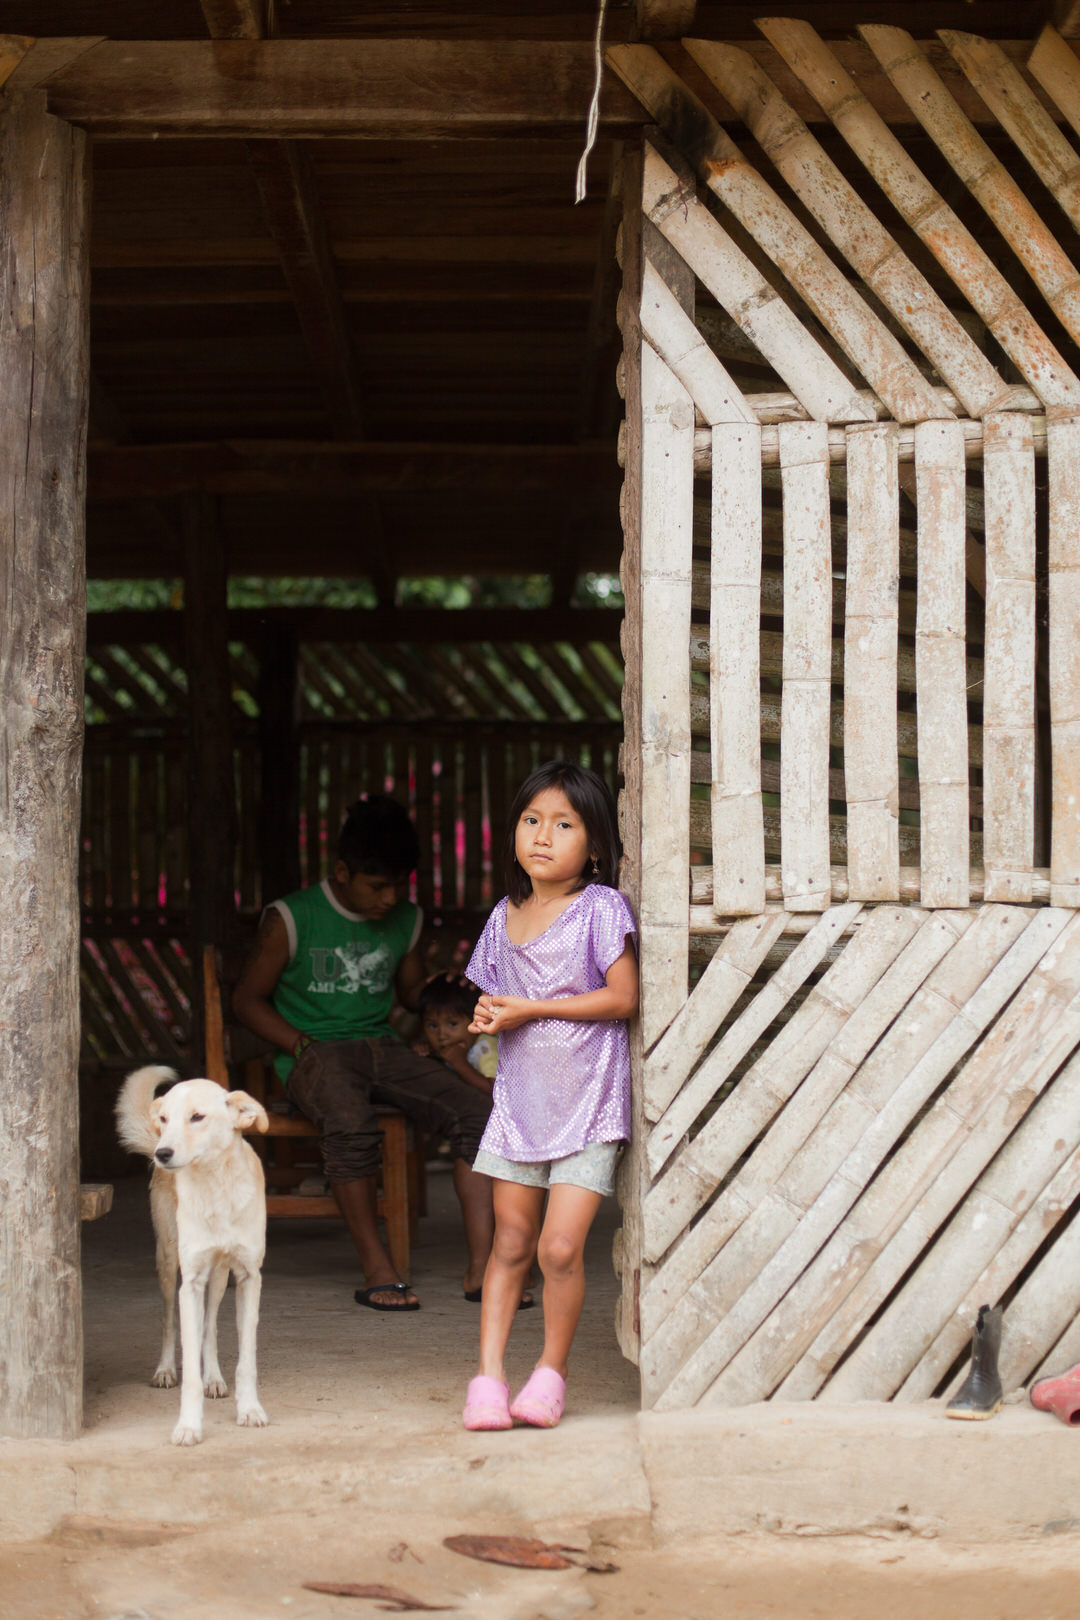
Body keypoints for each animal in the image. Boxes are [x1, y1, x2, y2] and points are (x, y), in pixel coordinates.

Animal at [114, 1062, 270, 1445]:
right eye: (164, 1118)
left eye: (197, 1117)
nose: (162, 1154)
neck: (217, 1187)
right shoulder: (192, 1279)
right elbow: (187, 1358)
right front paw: (188, 1425)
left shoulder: (248, 1277)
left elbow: (246, 1358)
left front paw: (249, 1409)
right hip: (169, 1263)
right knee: (170, 1320)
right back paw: (166, 1369)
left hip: (220, 1277)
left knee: (210, 1326)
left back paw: (213, 1375)